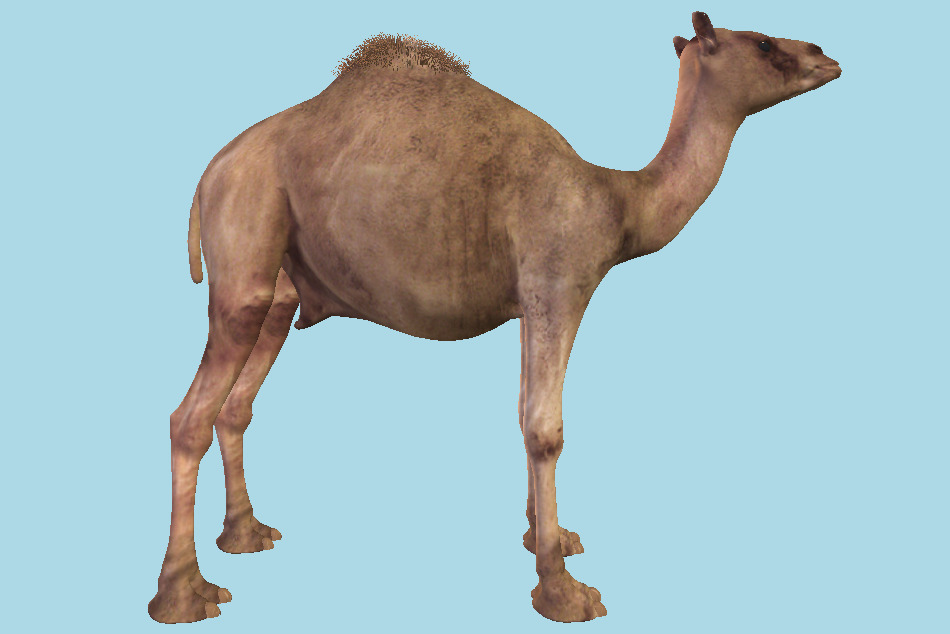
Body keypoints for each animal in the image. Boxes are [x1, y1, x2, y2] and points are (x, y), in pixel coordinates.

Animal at [149, 12, 841, 624]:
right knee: (191, 415)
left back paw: (246, 534)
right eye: (761, 42)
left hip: (281, 287)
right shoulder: (559, 283)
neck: (618, 202)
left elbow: (524, 416)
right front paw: (562, 591)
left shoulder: (530, 301)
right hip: (245, 239)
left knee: (236, 405)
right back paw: (185, 595)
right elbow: (546, 428)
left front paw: (549, 540)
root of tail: (210, 173)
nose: (825, 55)